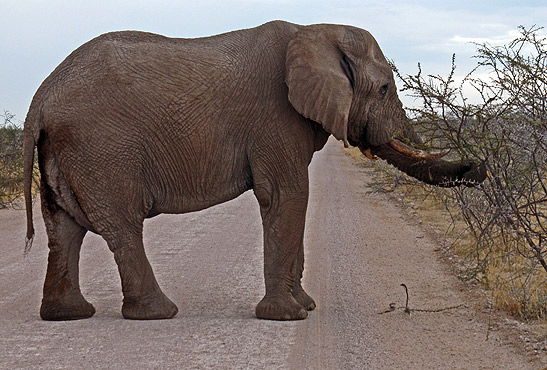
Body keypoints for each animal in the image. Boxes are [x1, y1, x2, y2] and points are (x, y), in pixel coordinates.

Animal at [22, 20, 488, 320]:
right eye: (386, 88)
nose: (480, 167)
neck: (316, 30)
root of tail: (39, 98)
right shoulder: (274, 117)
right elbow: (288, 195)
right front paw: (289, 316)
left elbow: (292, 201)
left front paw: (306, 306)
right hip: (101, 150)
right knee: (121, 225)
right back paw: (158, 314)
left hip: (67, 153)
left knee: (63, 228)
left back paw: (68, 315)